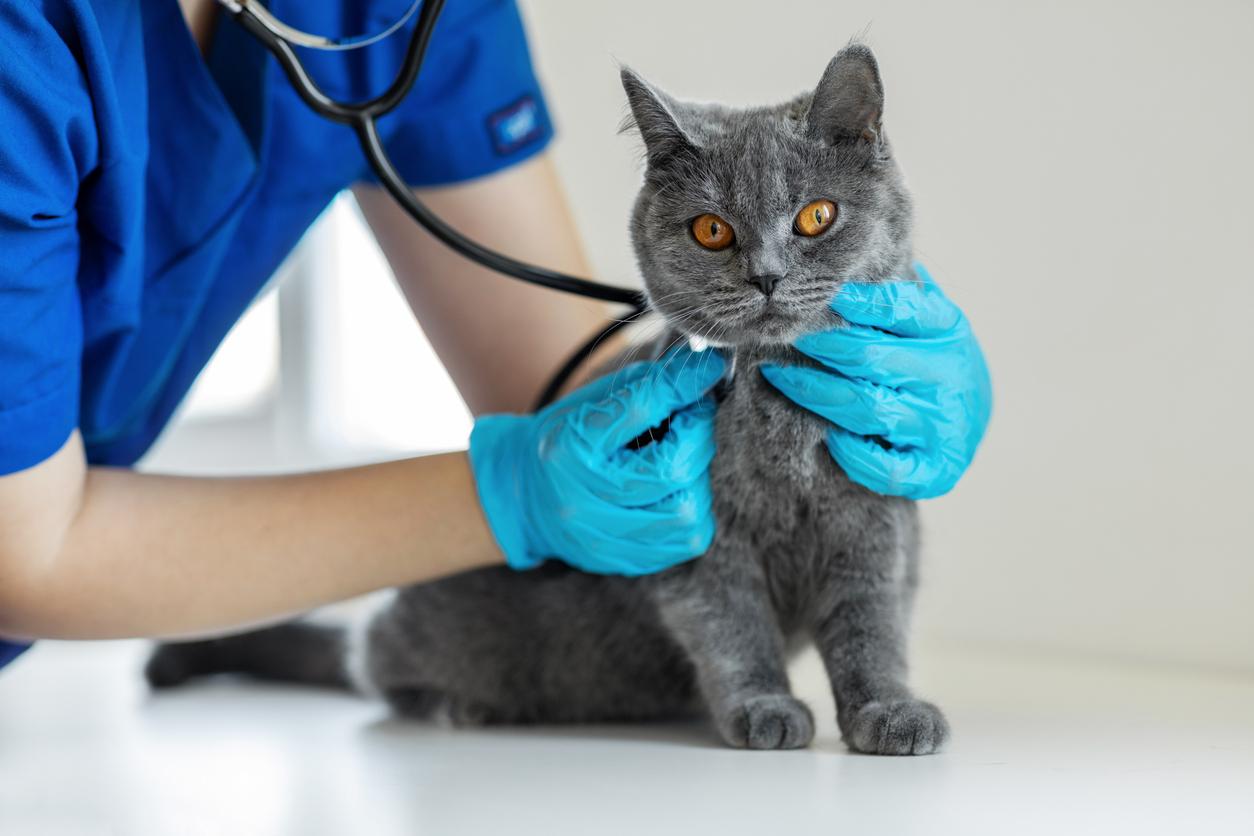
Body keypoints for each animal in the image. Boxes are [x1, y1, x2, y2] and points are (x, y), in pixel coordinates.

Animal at [146, 42, 943, 757]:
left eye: (816, 216)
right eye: (712, 230)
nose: (767, 277)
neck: (781, 411)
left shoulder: (876, 518)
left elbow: (871, 624)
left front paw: (889, 711)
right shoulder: (695, 532)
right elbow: (731, 625)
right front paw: (762, 708)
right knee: (369, 658)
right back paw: (452, 705)